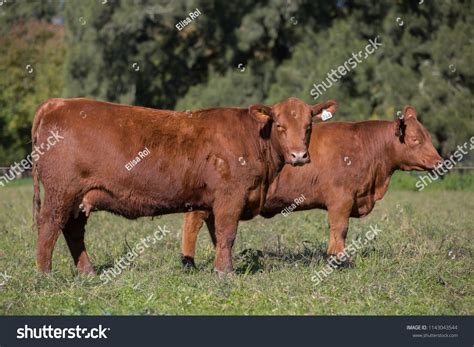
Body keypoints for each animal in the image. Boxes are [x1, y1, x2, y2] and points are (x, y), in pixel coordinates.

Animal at [181, 104, 444, 268]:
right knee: (192, 223)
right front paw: (338, 261)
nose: (440, 162)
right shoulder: (341, 198)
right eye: (415, 140)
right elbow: (339, 229)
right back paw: (188, 263)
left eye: (429, 137)